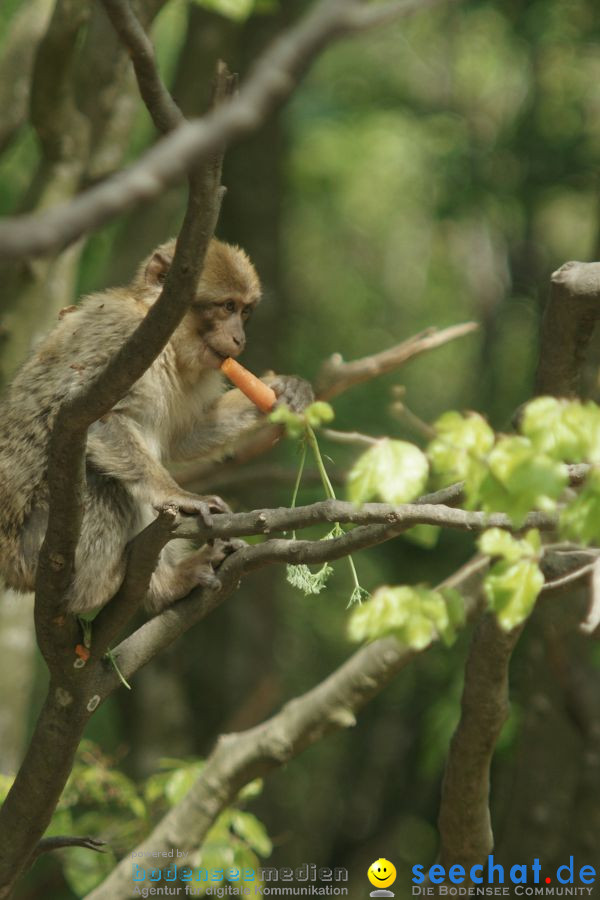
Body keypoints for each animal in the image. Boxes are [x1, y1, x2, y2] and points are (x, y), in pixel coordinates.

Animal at [0, 239, 314, 616]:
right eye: (227, 307)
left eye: (245, 311)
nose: (239, 338)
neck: (171, 344)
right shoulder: (124, 339)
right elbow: (88, 417)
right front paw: (179, 495)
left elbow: (184, 435)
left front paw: (282, 391)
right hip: (39, 543)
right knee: (101, 481)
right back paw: (111, 588)